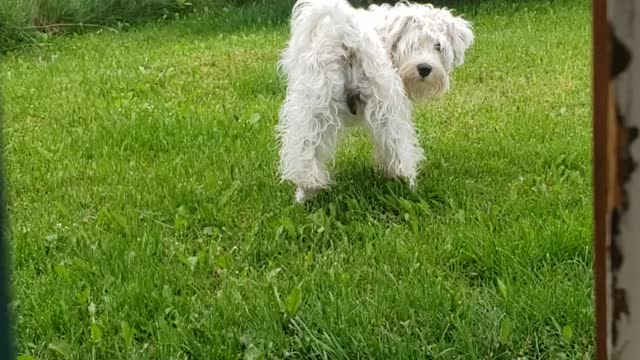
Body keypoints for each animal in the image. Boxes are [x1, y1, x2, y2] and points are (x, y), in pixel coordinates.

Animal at [278, 0, 472, 202]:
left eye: (438, 46)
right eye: (411, 45)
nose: (424, 68)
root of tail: (347, 32)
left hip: (314, 107)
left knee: (305, 151)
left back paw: (306, 192)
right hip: (388, 106)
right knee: (398, 147)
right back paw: (407, 183)